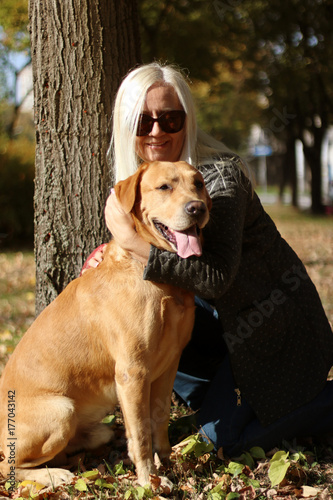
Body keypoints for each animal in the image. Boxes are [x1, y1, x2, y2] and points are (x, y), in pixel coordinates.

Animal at [0, 161, 210, 488]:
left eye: (198, 183)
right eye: (164, 187)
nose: (197, 208)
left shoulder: (169, 366)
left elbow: (159, 420)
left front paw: (167, 464)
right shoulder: (132, 372)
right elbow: (140, 433)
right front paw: (148, 481)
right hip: (61, 410)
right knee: (9, 465)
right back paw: (54, 474)